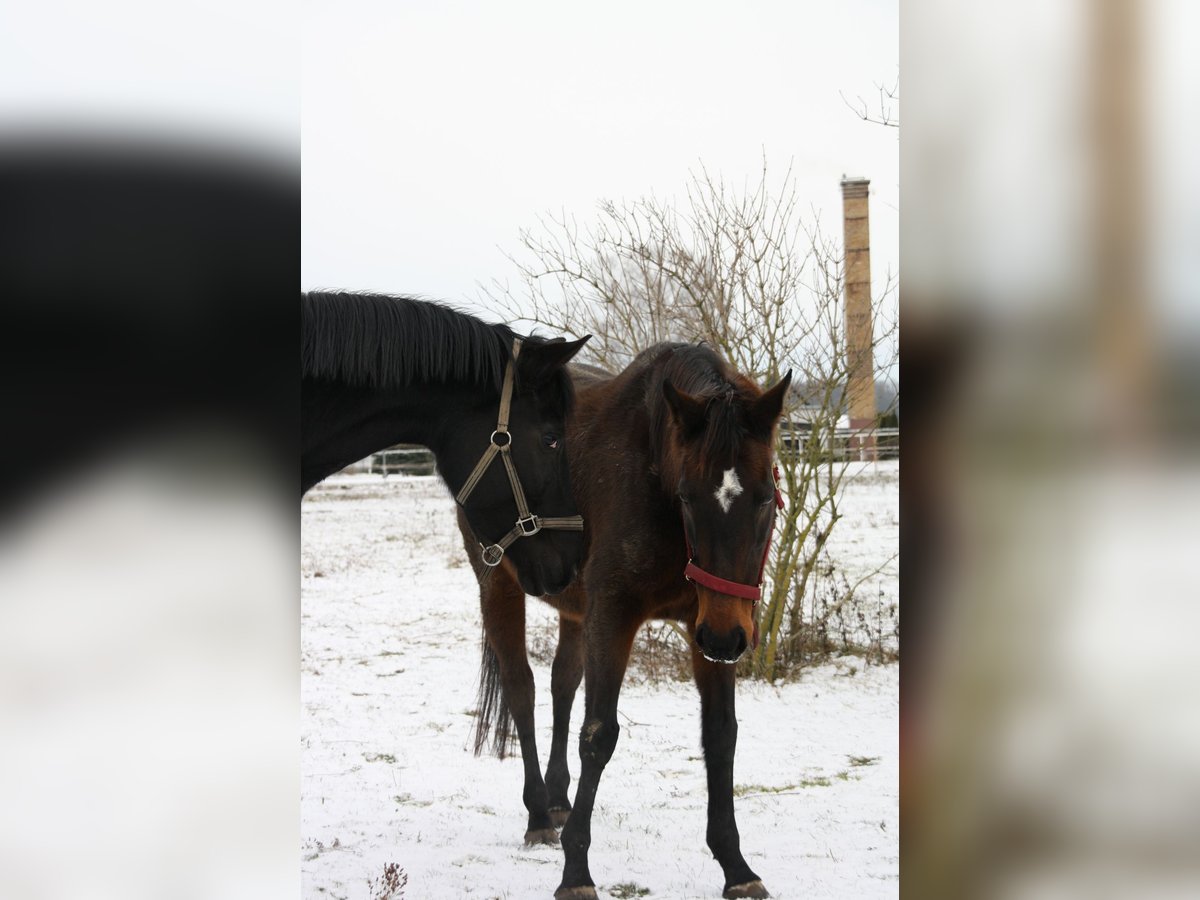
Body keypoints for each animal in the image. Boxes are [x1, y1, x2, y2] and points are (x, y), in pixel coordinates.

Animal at [463, 345, 792, 900]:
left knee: (562, 684)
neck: (654, 469)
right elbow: (599, 736)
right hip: (499, 585)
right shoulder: (615, 615)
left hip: (576, 609)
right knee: (522, 690)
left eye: (766, 496)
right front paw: (576, 873)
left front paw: (736, 866)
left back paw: (557, 799)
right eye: (687, 496)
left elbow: (720, 735)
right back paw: (538, 815)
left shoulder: (707, 621)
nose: (728, 639)